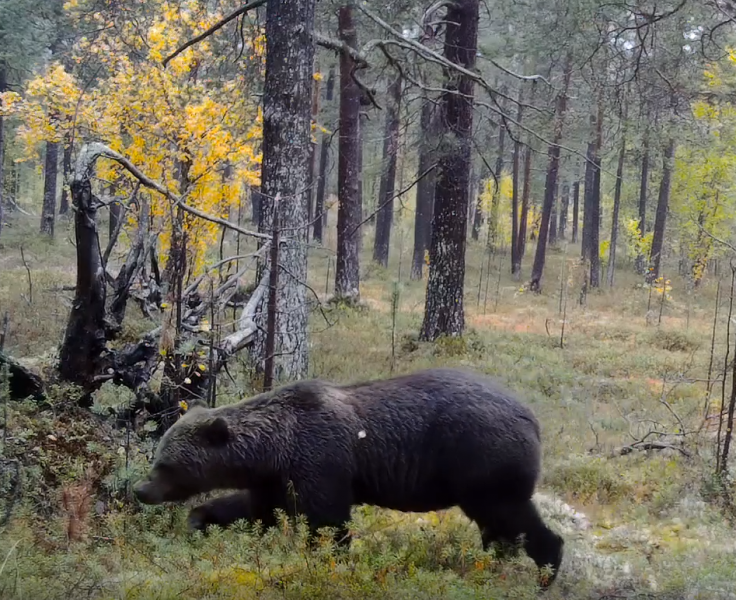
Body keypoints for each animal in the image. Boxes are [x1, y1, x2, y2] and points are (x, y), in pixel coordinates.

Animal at [134, 367, 564, 588]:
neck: (275, 446)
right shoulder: (278, 477)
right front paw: (200, 518)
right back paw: (491, 562)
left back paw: (546, 571)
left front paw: (327, 562)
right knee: (497, 526)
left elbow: (328, 521)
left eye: (165, 464)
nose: (140, 489)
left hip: (482, 461)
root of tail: (532, 416)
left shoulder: (322, 460)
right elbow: (256, 509)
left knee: (512, 516)